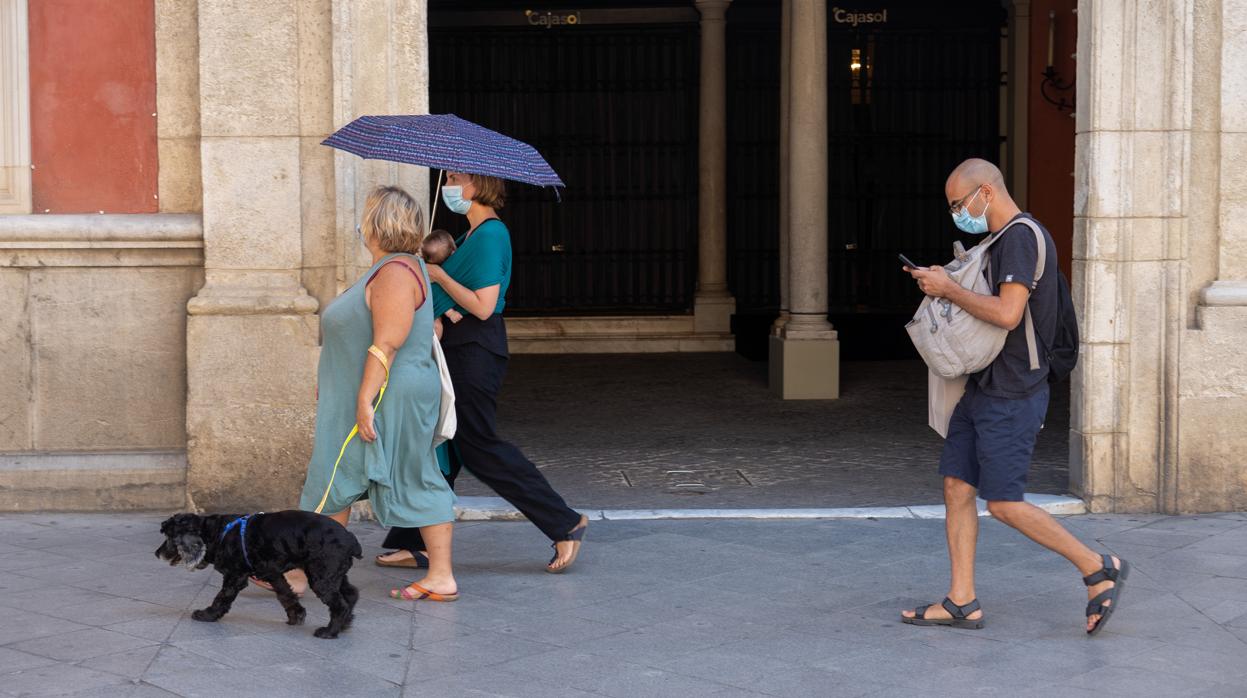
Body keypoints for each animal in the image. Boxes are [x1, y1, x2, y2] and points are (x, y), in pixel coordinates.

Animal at [155, 506, 361, 638]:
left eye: (169, 537)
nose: (157, 553)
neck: (216, 532)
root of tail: (351, 539)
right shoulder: (273, 573)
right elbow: (286, 595)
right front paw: (296, 615)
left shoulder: (235, 576)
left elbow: (221, 598)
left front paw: (207, 615)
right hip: (333, 574)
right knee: (351, 594)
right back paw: (344, 624)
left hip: (321, 576)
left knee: (340, 604)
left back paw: (329, 632)